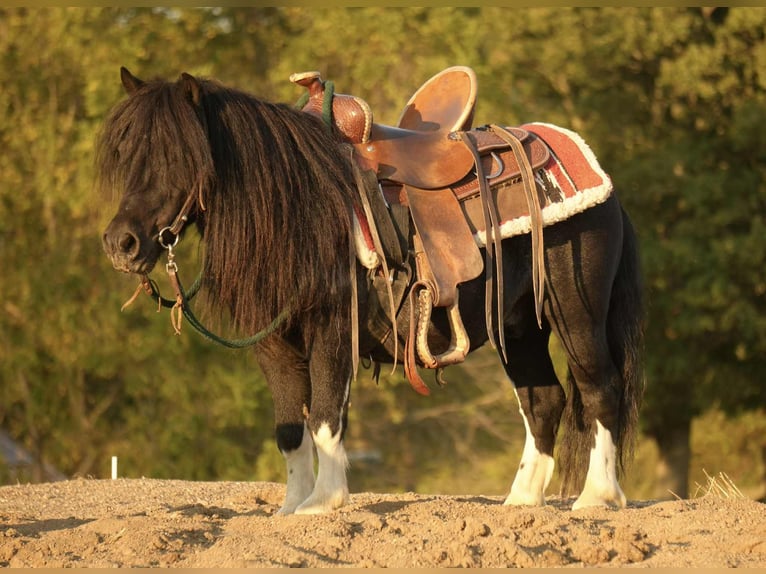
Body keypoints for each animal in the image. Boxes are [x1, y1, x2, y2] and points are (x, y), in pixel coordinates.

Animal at [99, 66, 644, 515]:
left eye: (177, 156)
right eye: (125, 156)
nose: (121, 243)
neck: (300, 205)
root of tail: (600, 179)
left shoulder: (331, 326)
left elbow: (323, 416)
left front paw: (323, 502)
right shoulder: (273, 342)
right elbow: (290, 429)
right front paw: (290, 507)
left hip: (575, 312)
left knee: (599, 388)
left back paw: (597, 498)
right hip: (520, 325)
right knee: (544, 400)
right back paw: (521, 501)